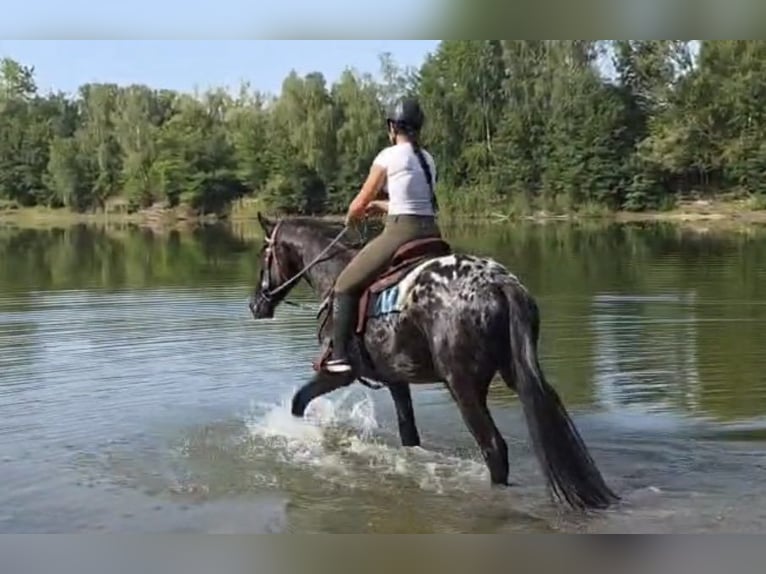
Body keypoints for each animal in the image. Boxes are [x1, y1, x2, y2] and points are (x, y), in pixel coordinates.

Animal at [248, 212, 618, 511]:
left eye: (264, 255)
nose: (255, 304)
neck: (334, 272)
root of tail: (499, 284)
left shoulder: (339, 374)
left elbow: (299, 401)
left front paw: (297, 433)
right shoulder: (396, 378)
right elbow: (409, 433)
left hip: (462, 386)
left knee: (494, 448)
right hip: (519, 371)